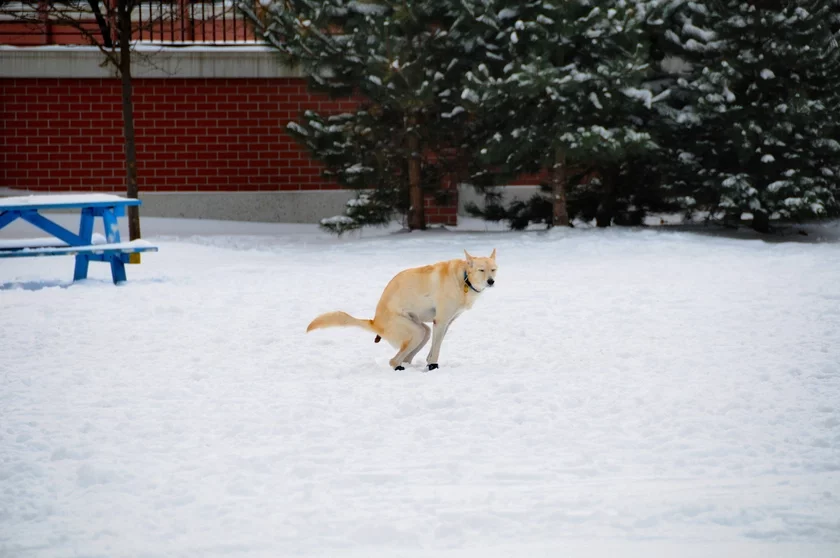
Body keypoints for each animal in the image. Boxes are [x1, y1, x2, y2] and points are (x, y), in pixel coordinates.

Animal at [306, 249, 497, 371]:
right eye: (481, 270)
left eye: (493, 270)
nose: (491, 281)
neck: (463, 278)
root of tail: (375, 321)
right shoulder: (441, 321)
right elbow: (436, 349)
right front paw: (433, 366)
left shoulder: (445, 324)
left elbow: (435, 347)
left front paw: (429, 363)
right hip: (414, 333)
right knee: (393, 360)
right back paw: (399, 368)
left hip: (423, 331)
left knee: (406, 357)